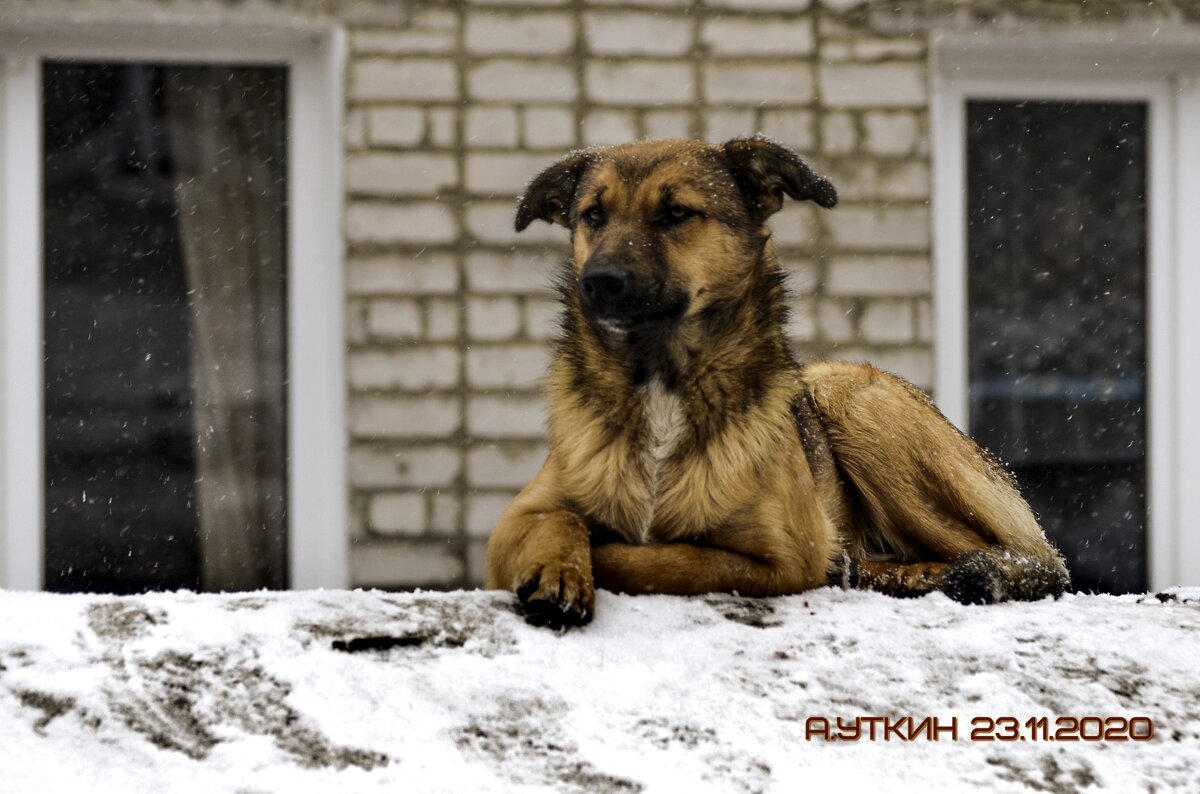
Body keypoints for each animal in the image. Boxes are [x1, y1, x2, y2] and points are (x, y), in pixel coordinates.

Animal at [482, 139, 1075, 633]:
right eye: (593, 215)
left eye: (676, 213)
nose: (598, 283)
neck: (660, 380)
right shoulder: (513, 523)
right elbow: (560, 518)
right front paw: (559, 571)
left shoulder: (784, 557)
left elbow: (666, 557)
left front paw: (599, 554)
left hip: (854, 398)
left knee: (1031, 559)